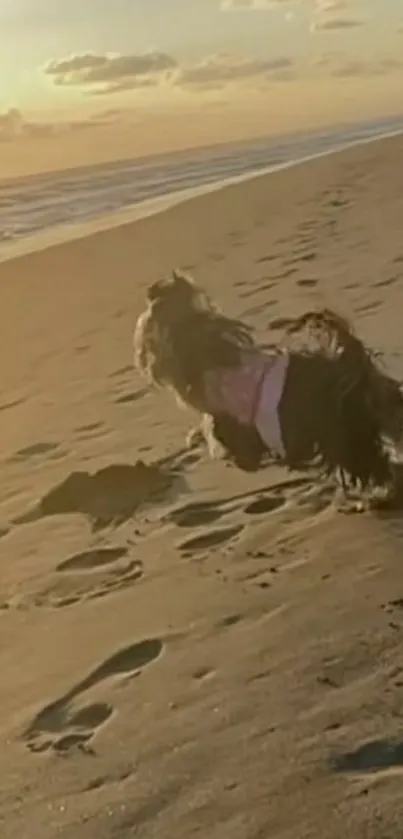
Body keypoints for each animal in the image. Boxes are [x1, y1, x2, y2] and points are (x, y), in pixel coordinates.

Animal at [135, 270, 403, 496]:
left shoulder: (232, 425)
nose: (147, 363)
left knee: (367, 463)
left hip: (339, 432)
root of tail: (348, 362)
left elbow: (226, 440)